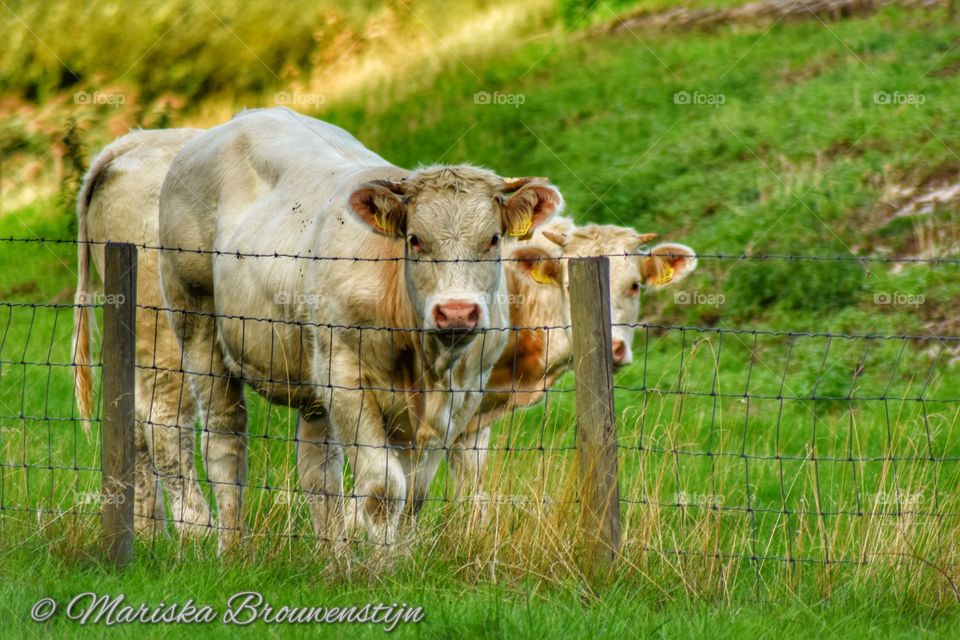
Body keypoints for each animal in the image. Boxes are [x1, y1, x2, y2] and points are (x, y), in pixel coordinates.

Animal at [73, 128, 211, 537]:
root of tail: (131, 142)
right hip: (171, 333)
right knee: (164, 423)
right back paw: (198, 532)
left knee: (134, 422)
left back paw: (146, 532)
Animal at [156, 107, 563, 551]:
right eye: (415, 239)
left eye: (492, 239)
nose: (456, 312)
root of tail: (247, 116)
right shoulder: (346, 376)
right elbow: (384, 489)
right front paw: (378, 564)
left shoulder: (463, 392)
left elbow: (414, 492)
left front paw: (395, 557)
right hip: (196, 322)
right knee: (225, 439)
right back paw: (231, 547)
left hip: (310, 367)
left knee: (319, 468)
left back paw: (330, 554)